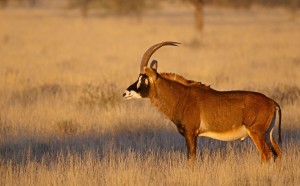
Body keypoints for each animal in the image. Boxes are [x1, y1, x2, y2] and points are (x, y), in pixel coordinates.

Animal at [122, 41, 282, 162]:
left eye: (143, 79)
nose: (125, 93)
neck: (182, 97)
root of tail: (272, 102)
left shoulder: (191, 133)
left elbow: (191, 158)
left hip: (256, 133)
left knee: (266, 155)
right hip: (268, 134)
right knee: (277, 153)